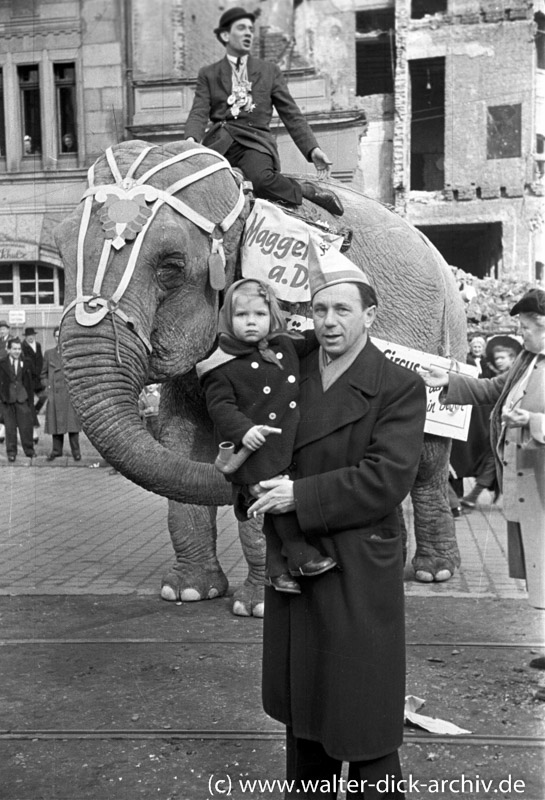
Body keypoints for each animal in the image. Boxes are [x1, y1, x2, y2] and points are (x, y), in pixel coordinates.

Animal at [54, 139, 464, 620]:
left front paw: (258, 607)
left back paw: (434, 572)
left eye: (171, 266)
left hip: (444, 334)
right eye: (60, 253)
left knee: (428, 460)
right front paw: (187, 592)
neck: (243, 194)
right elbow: (179, 437)